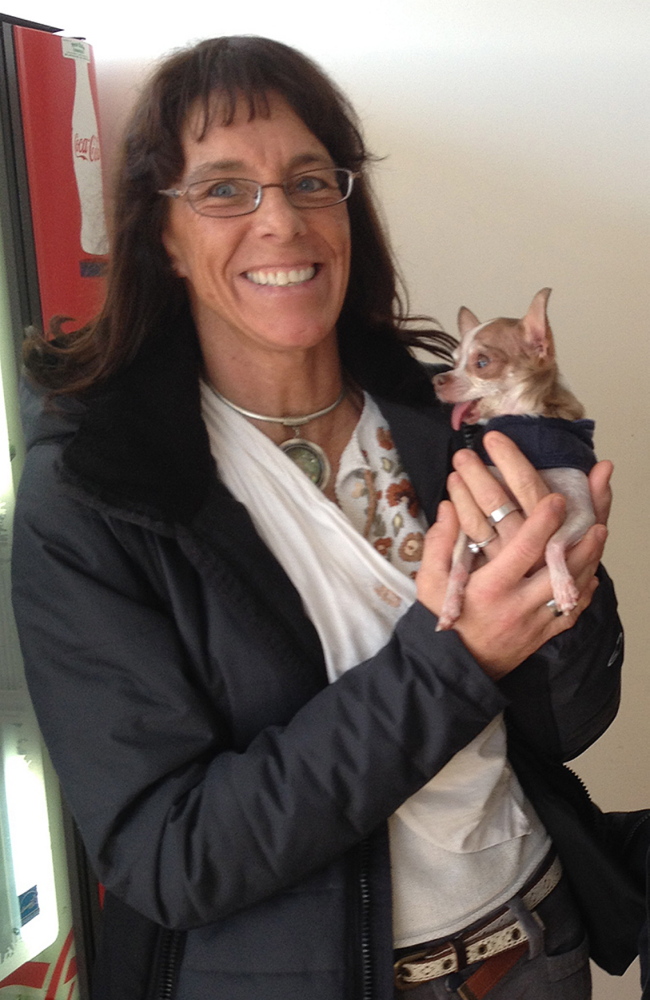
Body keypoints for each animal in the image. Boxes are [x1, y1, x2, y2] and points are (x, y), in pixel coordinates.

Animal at [432, 290, 596, 632]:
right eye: (453, 362)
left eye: (482, 363)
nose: (438, 379)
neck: (523, 426)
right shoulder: (470, 524)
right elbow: (457, 562)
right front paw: (450, 605)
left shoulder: (584, 512)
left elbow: (552, 544)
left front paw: (562, 588)